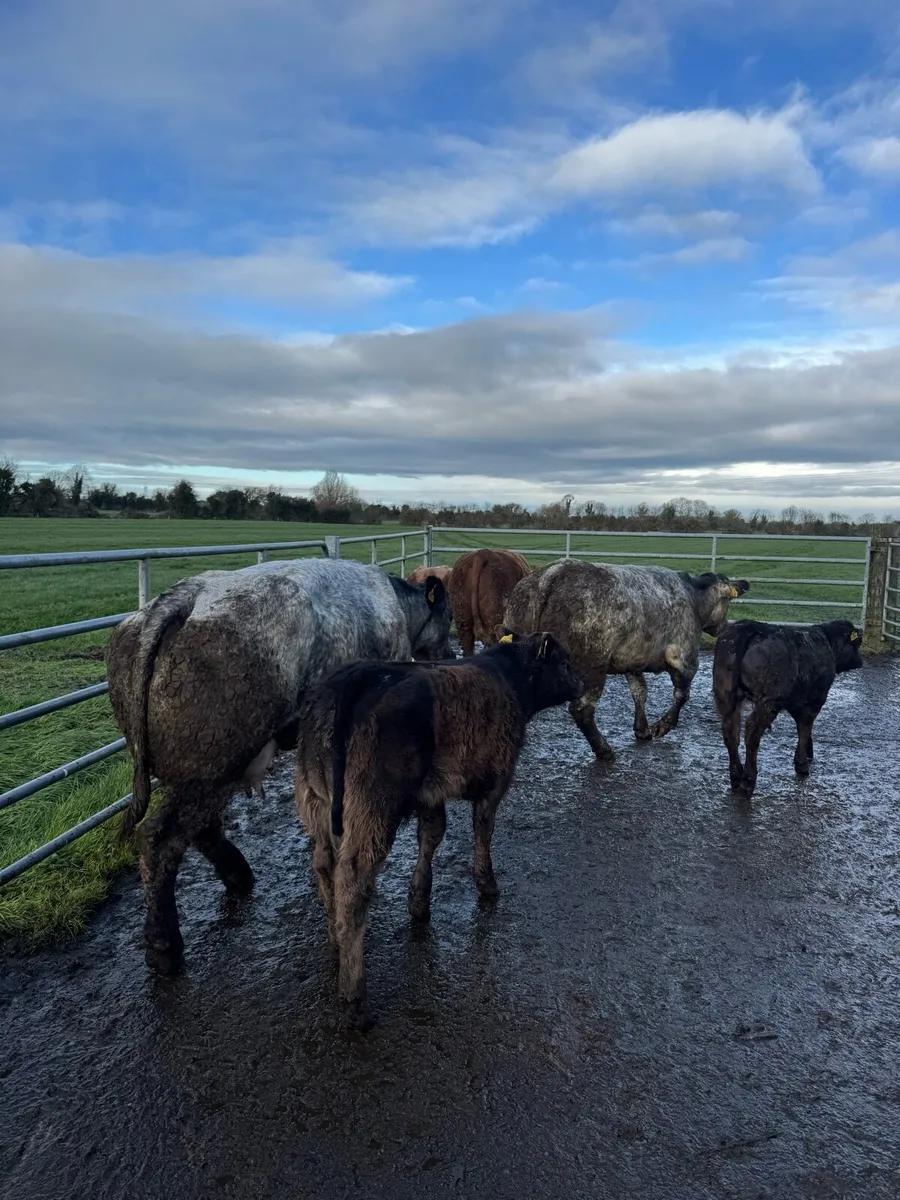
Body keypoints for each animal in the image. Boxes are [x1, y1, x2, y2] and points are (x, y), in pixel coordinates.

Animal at [106, 557, 452, 974]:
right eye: (449, 616)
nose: (451, 655)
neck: (398, 606)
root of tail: (184, 596)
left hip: (204, 769)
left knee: (201, 827)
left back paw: (237, 874)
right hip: (213, 767)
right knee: (162, 839)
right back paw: (164, 944)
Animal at [293, 631, 583, 1029]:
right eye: (565, 662)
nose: (583, 683)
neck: (509, 677)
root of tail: (353, 677)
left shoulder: (430, 793)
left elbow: (431, 836)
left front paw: (419, 901)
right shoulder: (495, 780)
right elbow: (483, 830)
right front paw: (487, 884)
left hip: (318, 800)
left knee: (324, 864)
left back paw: (336, 939)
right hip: (373, 803)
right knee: (353, 880)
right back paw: (355, 997)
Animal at [503, 561, 749, 760]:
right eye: (727, 601)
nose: (723, 627)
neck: (693, 596)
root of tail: (552, 574)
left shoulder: (633, 661)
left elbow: (640, 693)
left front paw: (642, 728)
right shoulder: (684, 657)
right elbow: (681, 695)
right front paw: (663, 726)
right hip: (591, 666)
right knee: (582, 709)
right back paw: (603, 750)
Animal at [713, 618, 863, 798]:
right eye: (857, 644)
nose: (860, 661)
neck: (826, 642)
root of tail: (749, 626)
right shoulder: (814, 701)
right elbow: (805, 728)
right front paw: (802, 763)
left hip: (726, 695)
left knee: (731, 731)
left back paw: (736, 776)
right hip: (770, 701)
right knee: (751, 732)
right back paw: (749, 780)